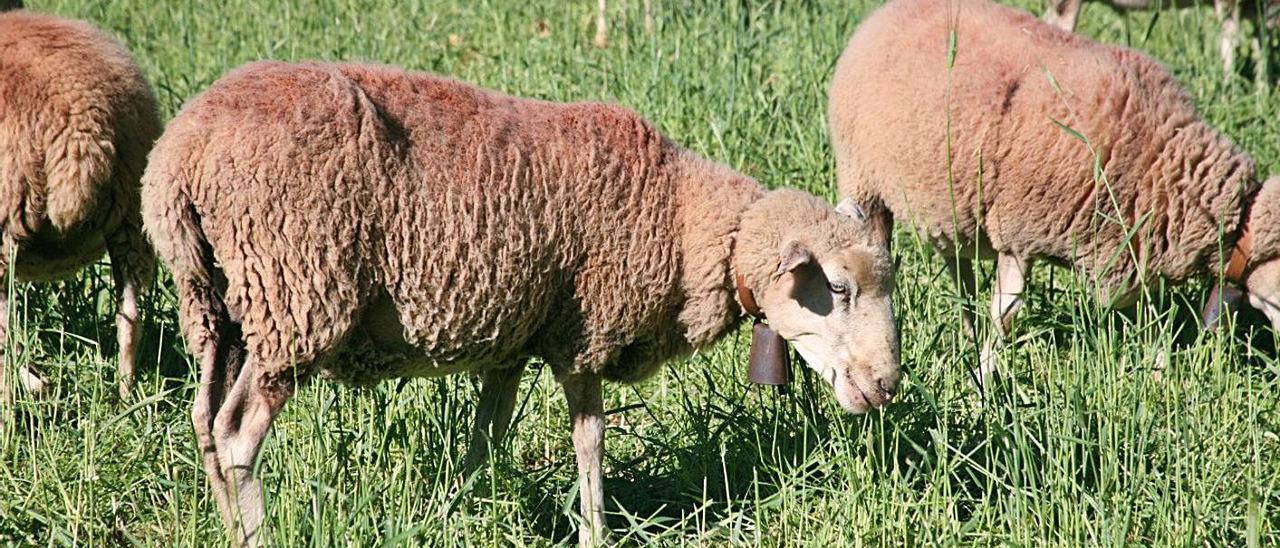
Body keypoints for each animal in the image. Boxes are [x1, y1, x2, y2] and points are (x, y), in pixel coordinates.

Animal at [0, 8, 160, 396]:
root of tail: (80, 127)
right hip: (131, 217)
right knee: (130, 315)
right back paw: (124, 393)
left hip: (6, 219)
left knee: (3, 331)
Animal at [140, 61, 901, 548]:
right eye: (837, 288)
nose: (887, 385)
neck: (687, 221)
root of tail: (180, 154)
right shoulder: (584, 332)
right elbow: (590, 441)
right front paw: (597, 531)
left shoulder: (511, 339)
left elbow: (486, 438)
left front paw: (460, 513)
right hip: (294, 294)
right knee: (237, 433)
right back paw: (257, 535)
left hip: (216, 303)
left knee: (204, 420)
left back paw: (223, 526)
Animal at [824, 0, 1254, 376]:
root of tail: (881, 14)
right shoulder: (1019, 232)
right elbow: (1007, 314)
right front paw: (984, 379)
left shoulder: (1132, 254)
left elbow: (1154, 316)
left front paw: (1159, 370)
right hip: (865, 186)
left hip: (950, 204)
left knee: (961, 276)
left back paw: (966, 335)